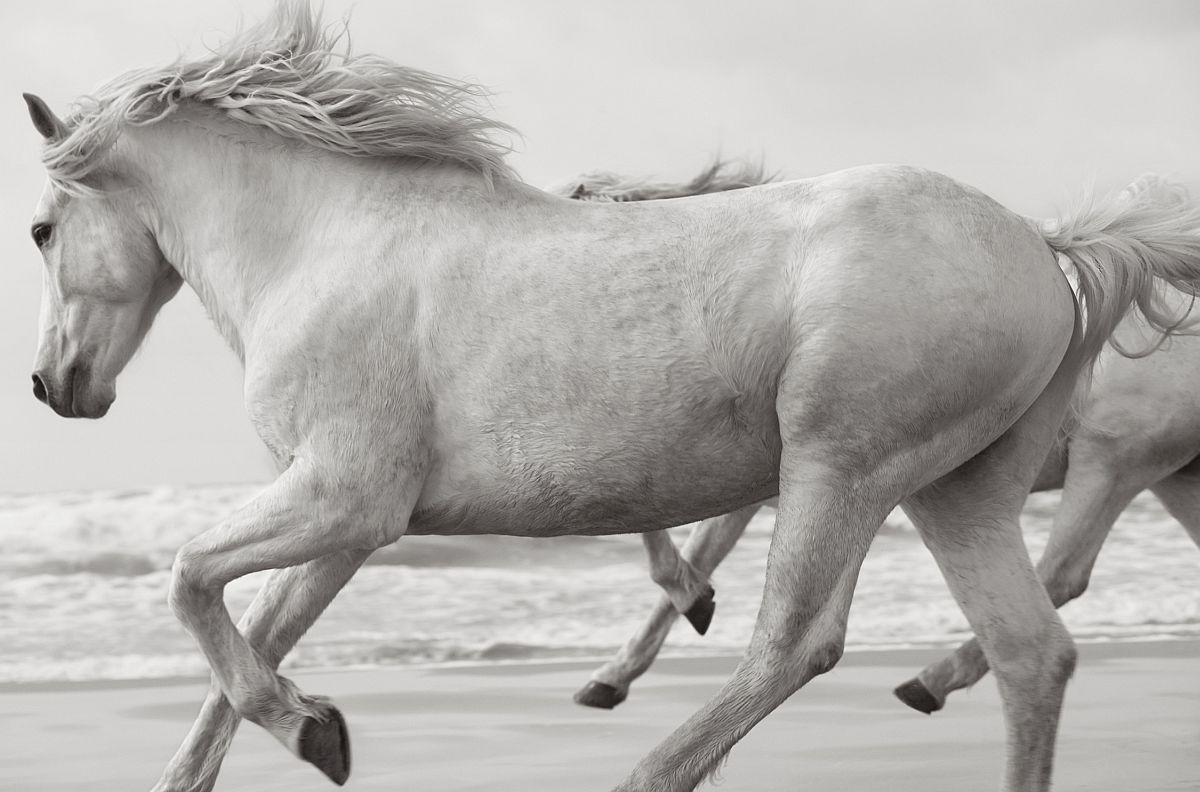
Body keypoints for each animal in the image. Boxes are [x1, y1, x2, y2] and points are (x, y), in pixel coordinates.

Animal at [21, 3, 1200, 787]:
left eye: (37, 229)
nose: (52, 386)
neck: (323, 242)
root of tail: (1044, 244)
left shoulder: (345, 498)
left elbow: (188, 583)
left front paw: (315, 730)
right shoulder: (346, 524)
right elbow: (248, 640)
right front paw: (303, 729)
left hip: (848, 466)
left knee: (799, 644)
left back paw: (643, 759)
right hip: (957, 488)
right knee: (1031, 652)